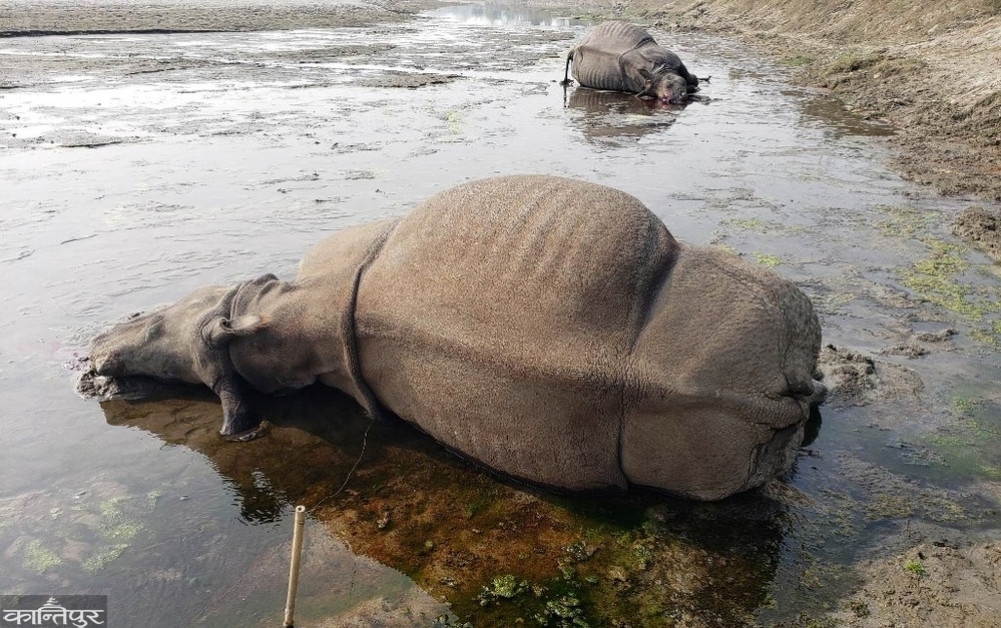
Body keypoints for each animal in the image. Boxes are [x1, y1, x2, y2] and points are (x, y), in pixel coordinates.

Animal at [563, 21, 703, 104]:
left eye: (682, 83)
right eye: (668, 86)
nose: (681, 96)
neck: (660, 71)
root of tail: (576, 46)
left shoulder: (676, 63)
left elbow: (692, 78)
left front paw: (694, 85)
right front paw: (694, 87)